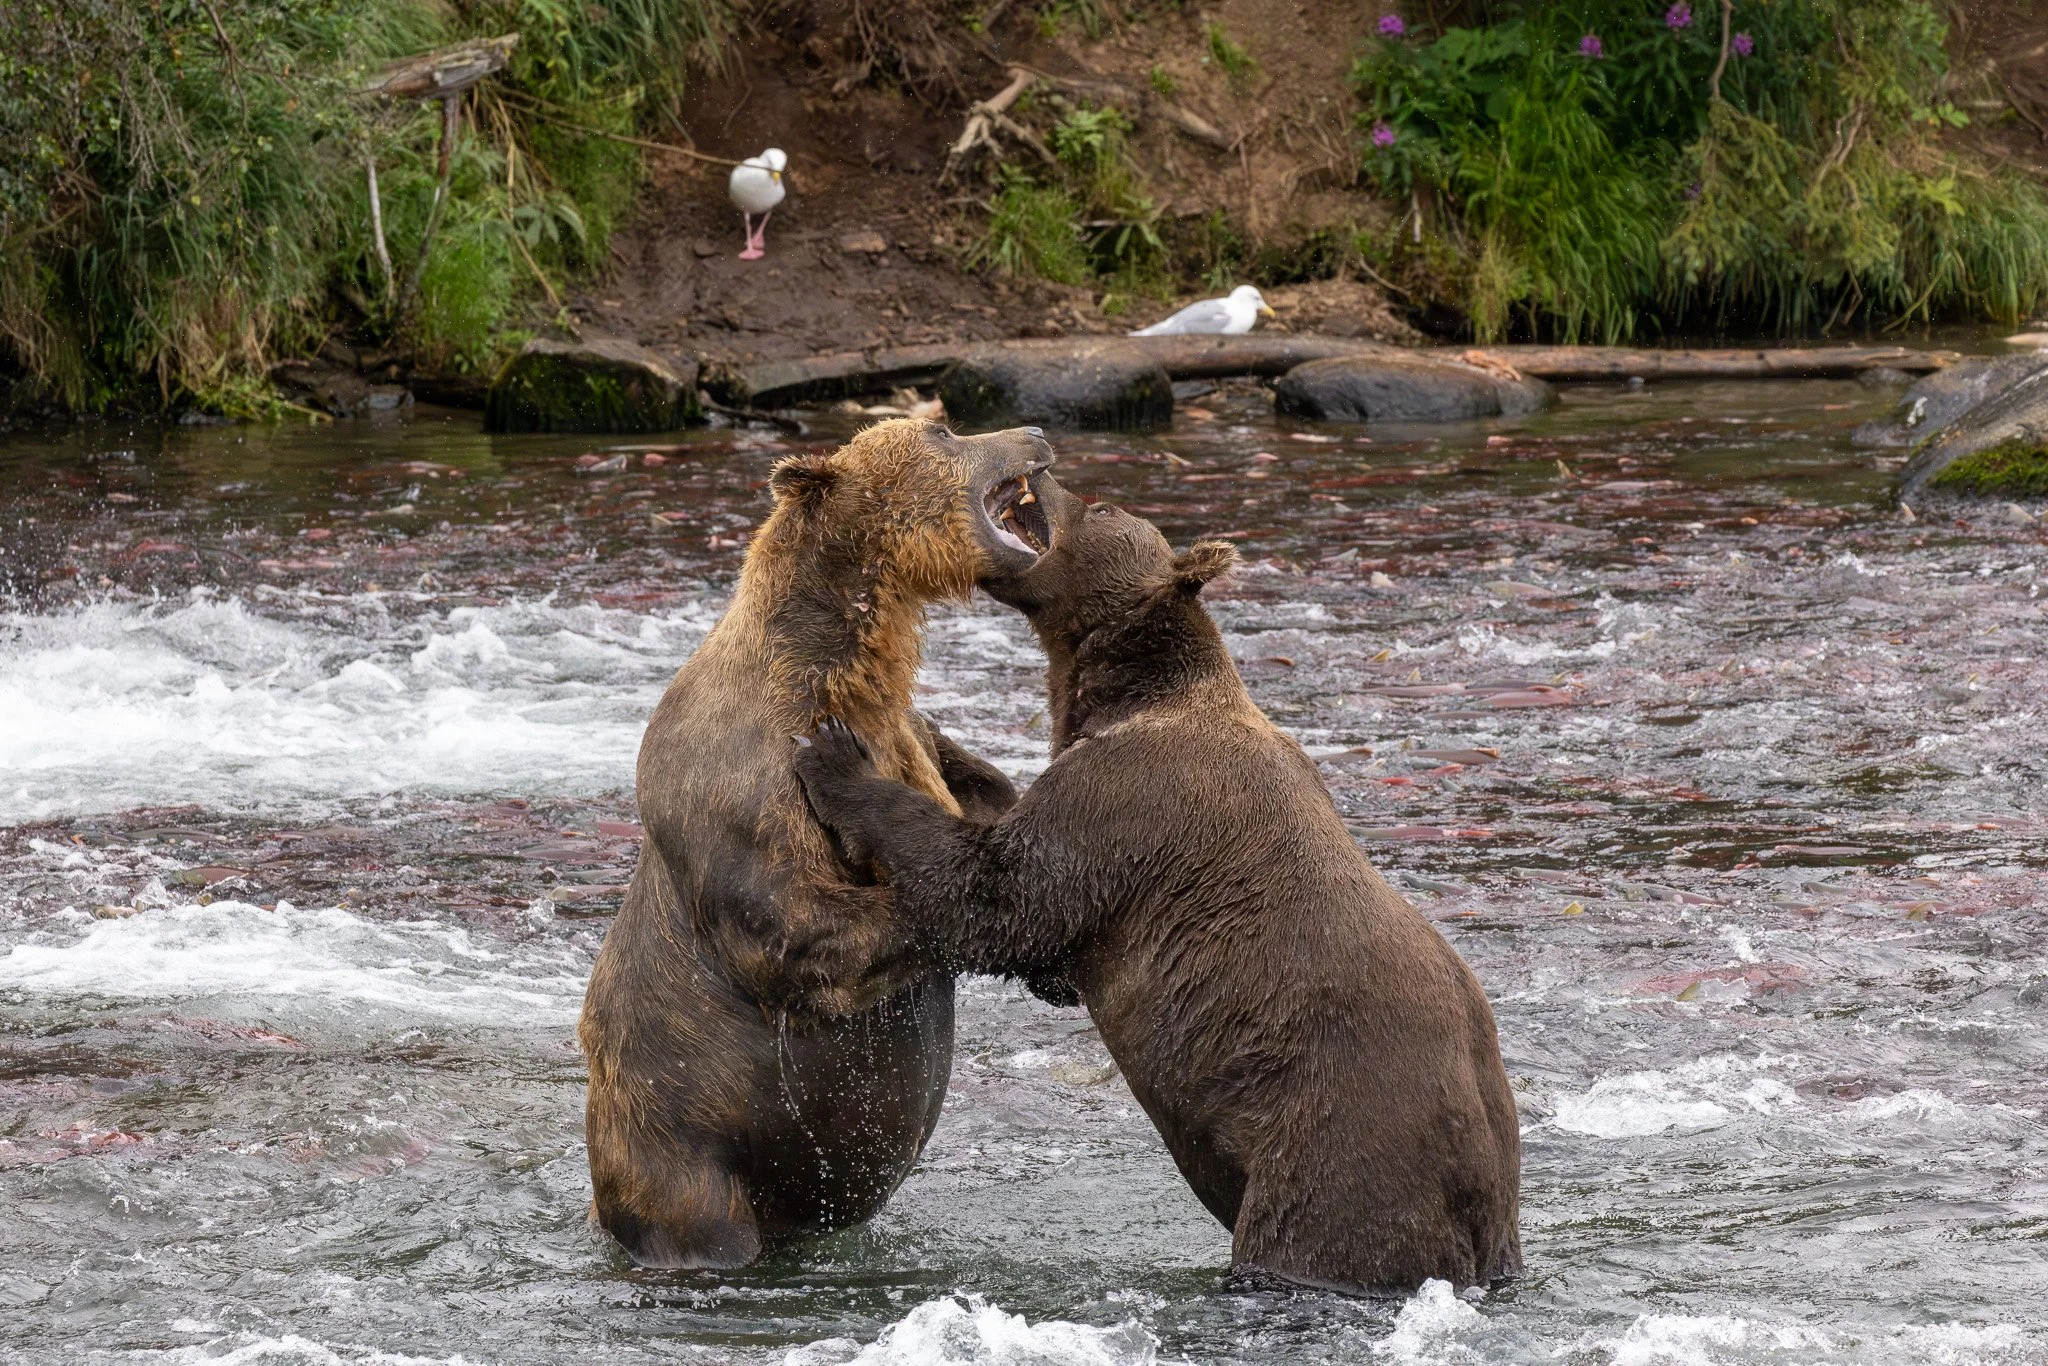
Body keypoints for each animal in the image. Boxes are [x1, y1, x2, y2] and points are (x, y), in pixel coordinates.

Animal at [579, 417, 1059, 1269]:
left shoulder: (909, 735)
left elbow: (979, 803)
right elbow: (798, 925)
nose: (1033, 429)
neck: (835, 666)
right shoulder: (746, 782)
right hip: (677, 1141)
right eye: (942, 429)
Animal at [791, 477, 1523, 1294]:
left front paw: (837, 755)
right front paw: (937, 734)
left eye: (1103, 509)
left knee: (1312, 1233)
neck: (1129, 691)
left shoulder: (1132, 809)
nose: (1047, 474)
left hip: (1348, 1140)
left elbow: (1005, 899)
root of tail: (1484, 1207)